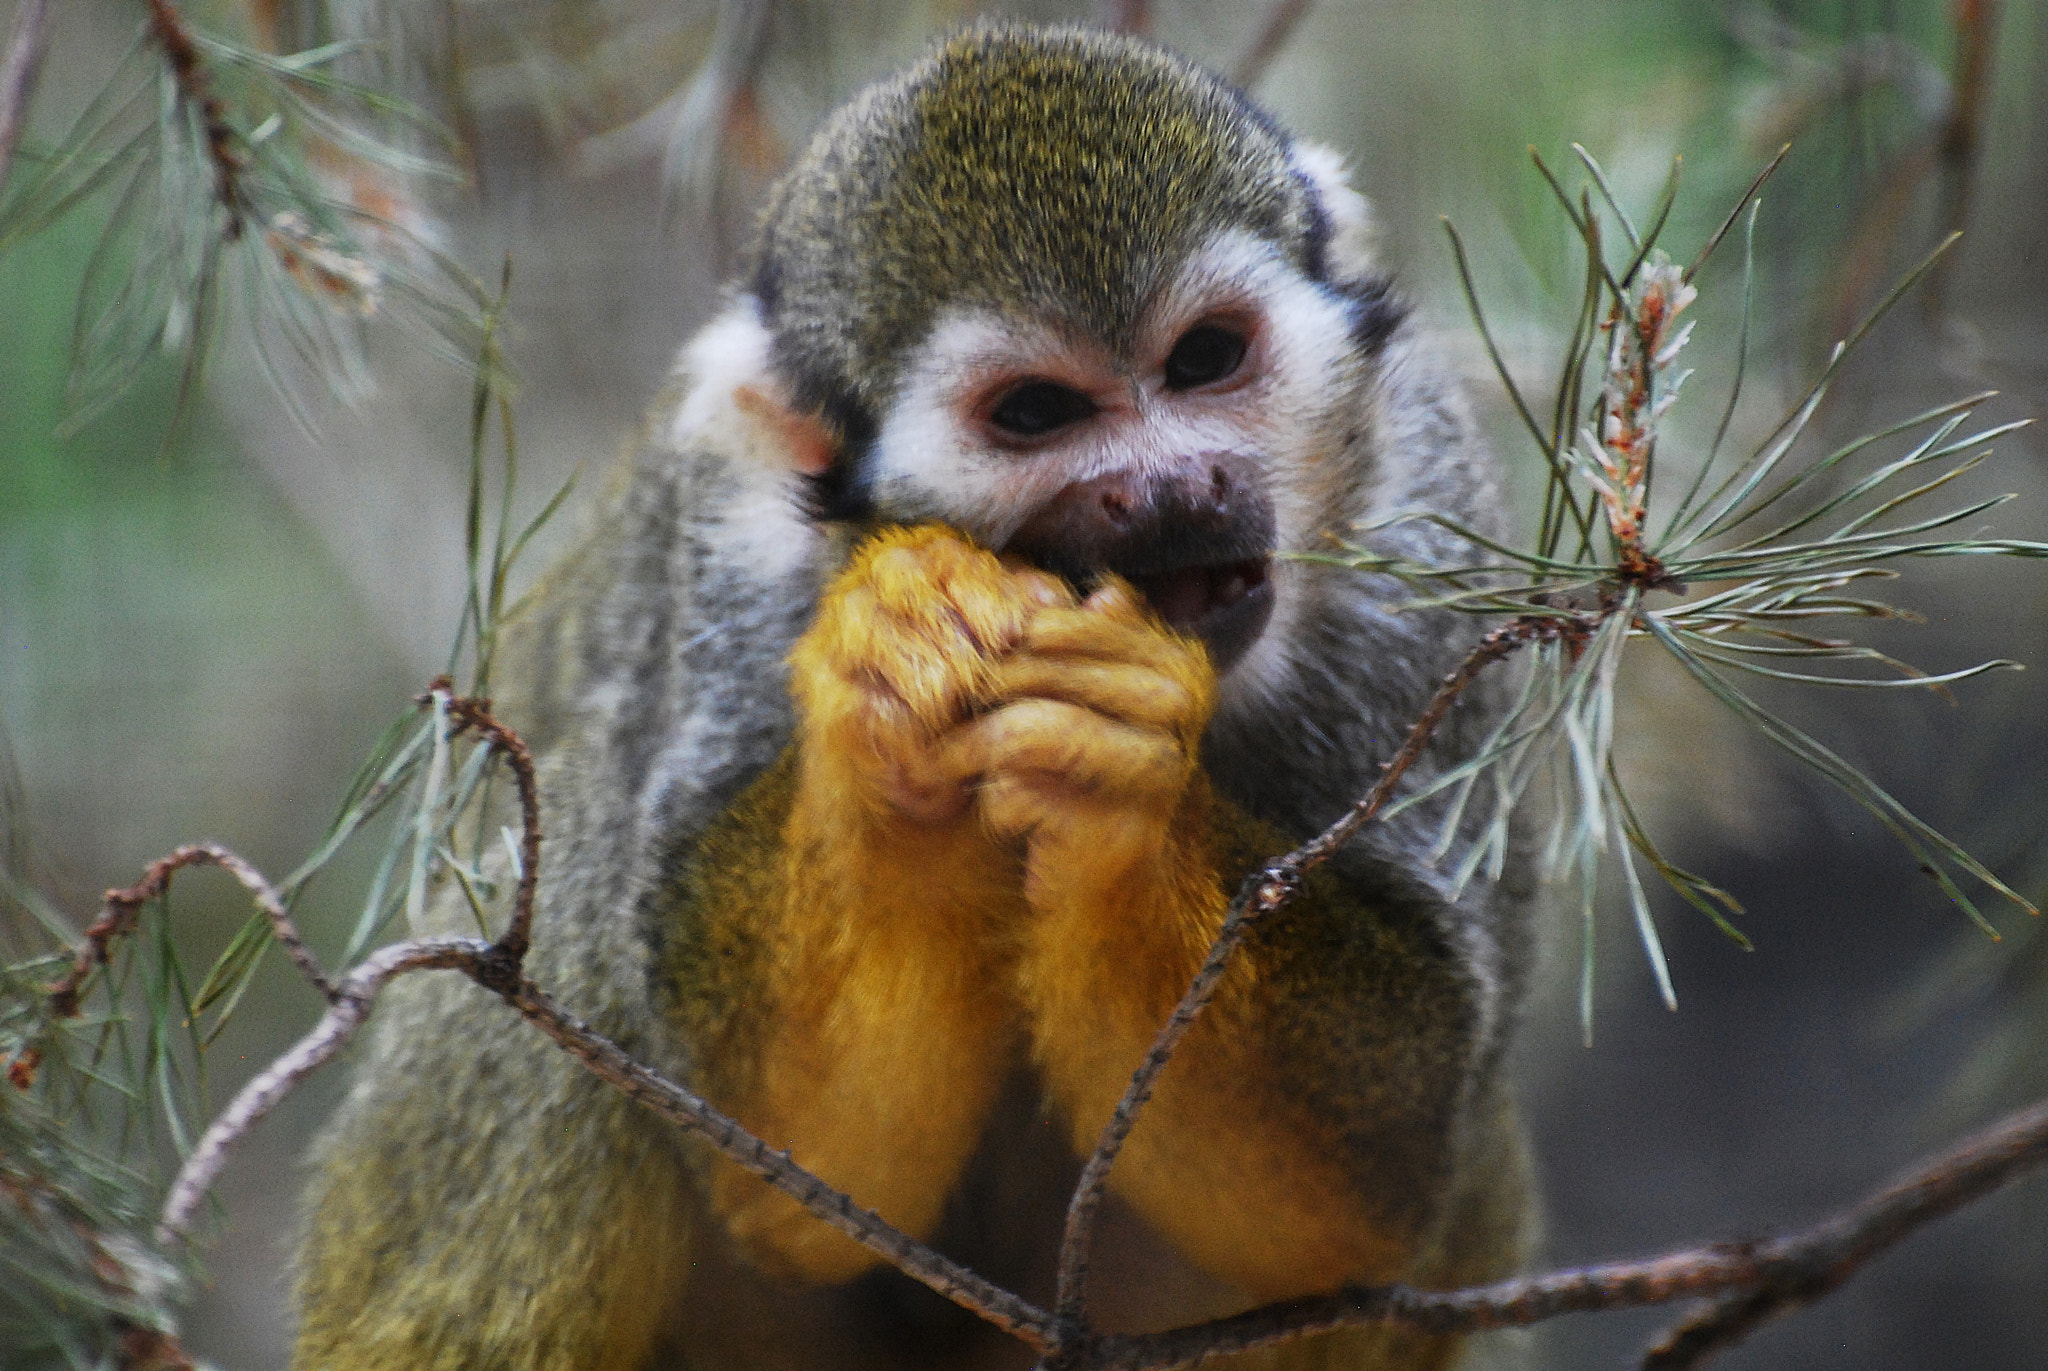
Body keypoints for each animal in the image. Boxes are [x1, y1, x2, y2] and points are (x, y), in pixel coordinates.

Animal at [293, 23, 1537, 1371]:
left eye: (1204, 359)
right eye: (1035, 412)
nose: (1171, 485)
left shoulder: (1425, 508)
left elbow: (1368, 1193)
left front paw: (1116, 780)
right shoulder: (730, 551)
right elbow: (792, 1169)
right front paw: (893, 691)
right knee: (575, 867)